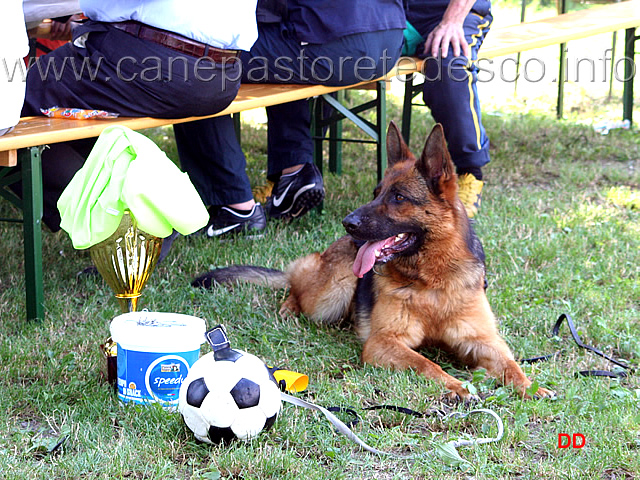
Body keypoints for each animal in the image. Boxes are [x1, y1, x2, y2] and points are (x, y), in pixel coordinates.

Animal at [194, 124, 556, 402]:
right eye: (376, 192)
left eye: (398, 198)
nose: (348, 223)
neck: (431, 282)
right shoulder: (384, 342)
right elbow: (426, 363)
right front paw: (456, 386)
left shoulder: (483, 341)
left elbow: (511, 364)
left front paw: (531, 387)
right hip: (331, 294)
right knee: (298, 277)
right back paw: (289, 305)